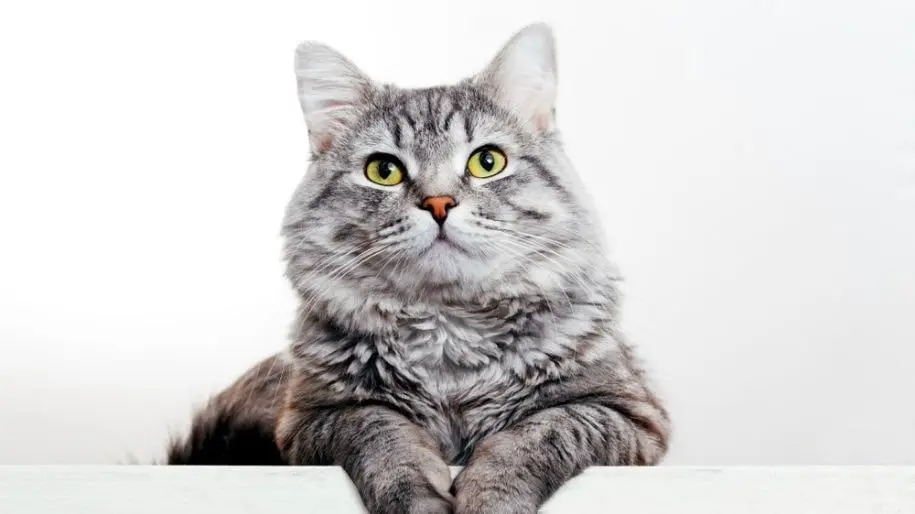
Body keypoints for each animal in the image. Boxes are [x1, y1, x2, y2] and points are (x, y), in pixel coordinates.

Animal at [166, 22, 672, 510]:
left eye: (488, 162)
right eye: (383, 171)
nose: (439, 203)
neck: (449, 337)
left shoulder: (625, 414)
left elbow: (530, 439)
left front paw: (489, 501)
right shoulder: (313, 419)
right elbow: (385, 438)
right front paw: (418, 498)